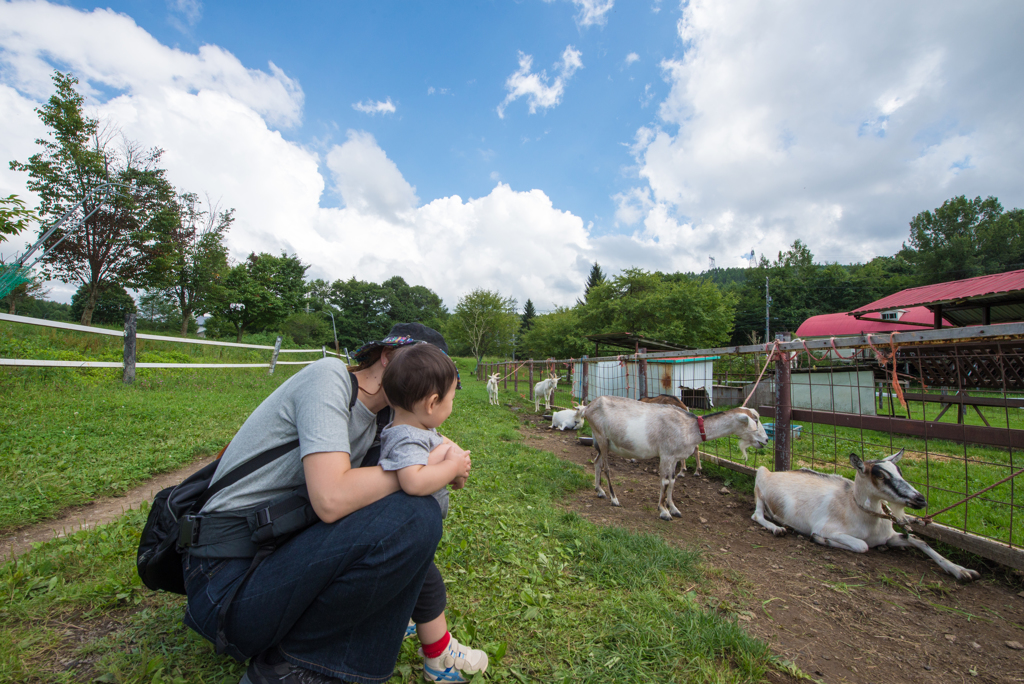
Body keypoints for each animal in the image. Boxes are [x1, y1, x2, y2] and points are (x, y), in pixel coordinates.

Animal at [585, 395, 770, 518]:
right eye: (755, 420)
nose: (766, 440)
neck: (690, 427)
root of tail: (589, 407)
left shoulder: (675, 458)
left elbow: (673, 481)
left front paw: (673, 508)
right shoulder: (666, 455)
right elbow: (665, 481)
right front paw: (663, 511)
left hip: (603, 442)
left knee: (597, 462)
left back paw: (599, 490)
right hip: (602, 437)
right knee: (606, 467)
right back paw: (614, 498)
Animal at [757, 448, 978, 581]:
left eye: (899, 470)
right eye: (879, 475)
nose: (920, 499)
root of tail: (776, 472)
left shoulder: (889, 536)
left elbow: (918, 540)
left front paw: (961, 571)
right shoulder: (826, 527)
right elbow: (862, 545)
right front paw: (822, 540)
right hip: (760, 477)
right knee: (758, 515)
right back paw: (777, 527)